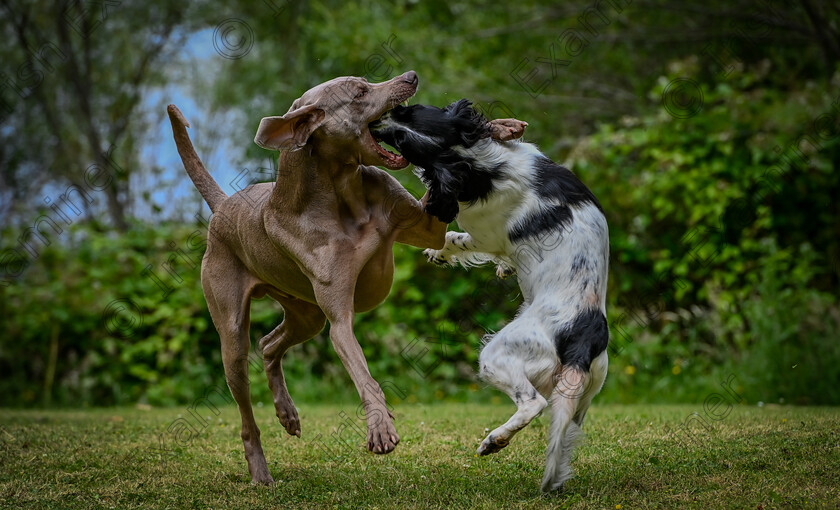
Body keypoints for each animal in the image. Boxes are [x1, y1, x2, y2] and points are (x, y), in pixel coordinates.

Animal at [167, 70, 524, 482]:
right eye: (359, 92)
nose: (410, 76)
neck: (341, 193)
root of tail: (224, 205)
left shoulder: (423, 225)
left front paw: (498, 127)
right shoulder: (340, 319)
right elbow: (364, 374)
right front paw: (380, 427)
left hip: (306, 314)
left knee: (270, 345)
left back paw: (287, 414)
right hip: (232, 332)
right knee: (245, 403)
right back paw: (260, 471)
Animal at [370, 99, 608, 490]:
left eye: (403, 138)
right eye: (408, 110)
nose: (374, 122)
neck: (476, 161)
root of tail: (585, 329)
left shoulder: (483, 234)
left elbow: (456, 238)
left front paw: (439, 253)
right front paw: (504, 269)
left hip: (498, 357)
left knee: (533, 404)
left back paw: (494, 441)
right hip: (582, 395)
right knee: (565, 433)